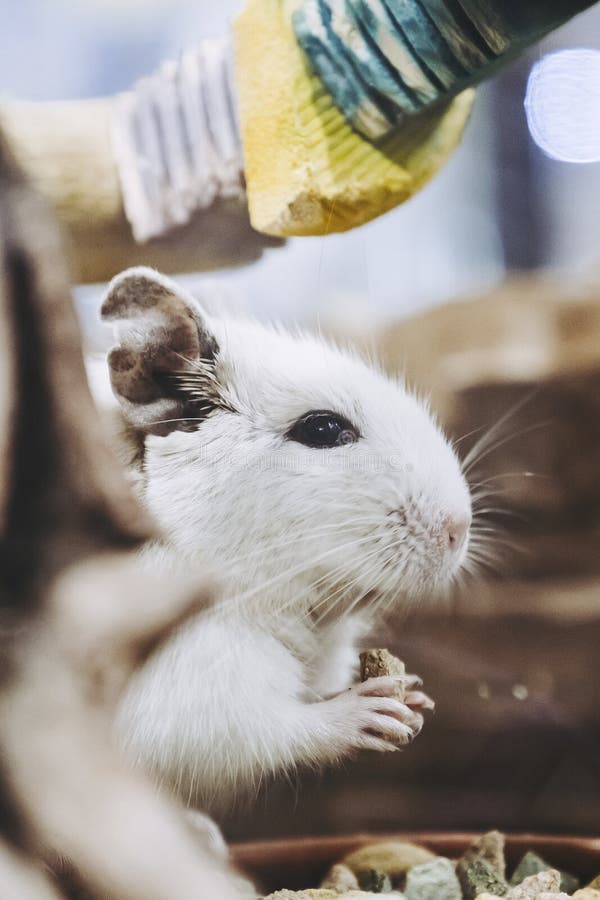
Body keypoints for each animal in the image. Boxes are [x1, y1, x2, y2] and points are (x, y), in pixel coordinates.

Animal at [101, 267, 472, 814]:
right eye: (323, 430)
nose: (458, 530)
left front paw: (416, 695)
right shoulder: (193, 692)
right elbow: (275, 729)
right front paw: (371, 710)